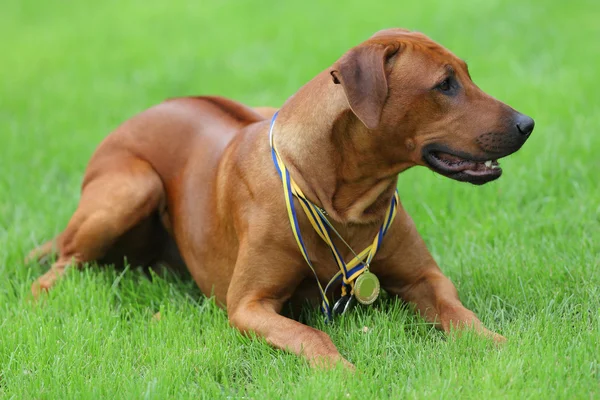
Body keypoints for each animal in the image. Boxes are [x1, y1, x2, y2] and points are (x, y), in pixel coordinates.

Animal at [28, 28, 536, 368]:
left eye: (466, 74)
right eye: (444, 84)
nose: (527, 123)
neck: (342, 202)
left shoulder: (425, 279)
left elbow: (460, 313)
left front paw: (501, 345)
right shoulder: (248, 305)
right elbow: (314, 337)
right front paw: (343, 371)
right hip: (133, 187)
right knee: (56, 269)